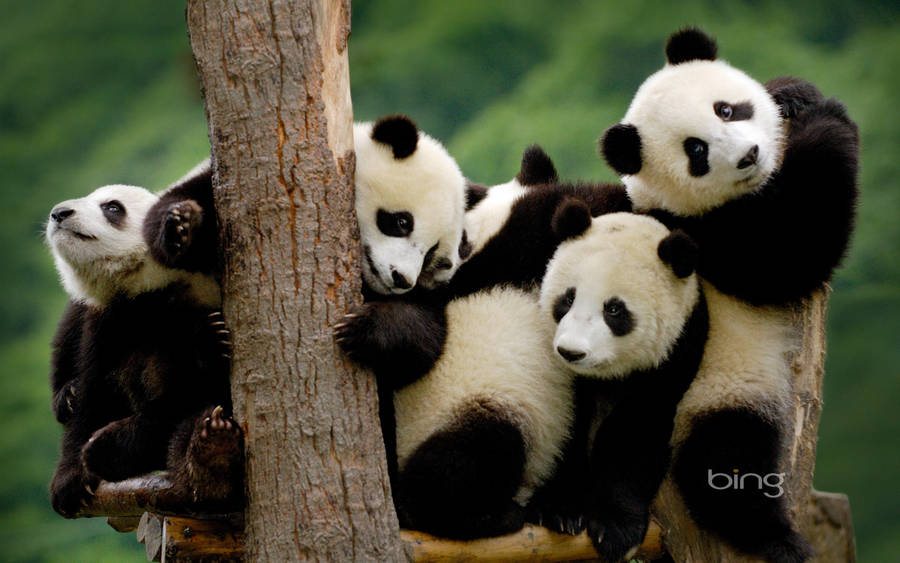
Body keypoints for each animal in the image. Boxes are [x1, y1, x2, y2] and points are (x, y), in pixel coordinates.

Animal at [46, 177, 242, 518]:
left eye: (112, 207)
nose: (60, 213)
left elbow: (183, 398)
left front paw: (104, 449)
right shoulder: (110, 320)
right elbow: (94, 392)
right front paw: (70, 481)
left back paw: (211, 452)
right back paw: (65, 396)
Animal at [599, 28, 859, 562]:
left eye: (726, 109)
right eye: (695, 151)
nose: (749, 156)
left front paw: (794, 94)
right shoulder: (702, 236)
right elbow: (790, 253)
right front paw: (829, 119)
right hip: (714, 391)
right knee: (725, 463)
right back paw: (776, 537)